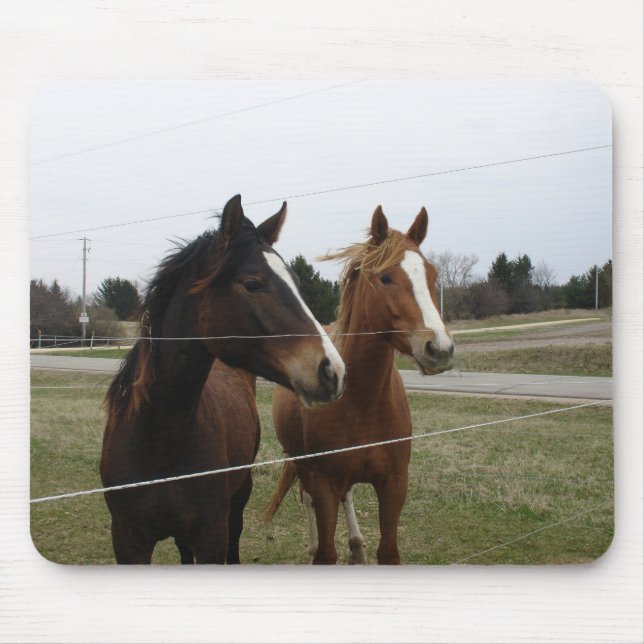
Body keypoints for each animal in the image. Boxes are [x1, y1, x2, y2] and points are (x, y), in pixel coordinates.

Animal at [101, 194, 345, 564]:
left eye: (297, 282)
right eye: (252, 283)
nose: (333, 370)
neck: (157, 434)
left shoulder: (211, 533)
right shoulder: (128, 541)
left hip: (238, 496)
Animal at [266, 205, 454, 565]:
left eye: (432, 275)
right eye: (385, 277)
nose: (440, 348)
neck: (363, 402)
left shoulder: (394, 484)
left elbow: (388, 551)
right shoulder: (324, 483)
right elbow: (326, 550)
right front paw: (319, 549)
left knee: (348, 496)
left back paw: (355, 545)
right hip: (302, 464)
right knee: (306, 497)